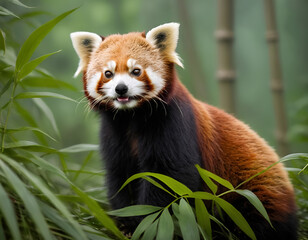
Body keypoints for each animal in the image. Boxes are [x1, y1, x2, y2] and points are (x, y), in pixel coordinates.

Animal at [71, 23, 298, 240]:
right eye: (108, 74)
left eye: (136, 71)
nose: (121, 89)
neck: (132, 117)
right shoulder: (114, 132)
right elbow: (120, 176)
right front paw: (126, 223)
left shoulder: (173, 124)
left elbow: (171, 177)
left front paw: (147, 223)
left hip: (251, 192)